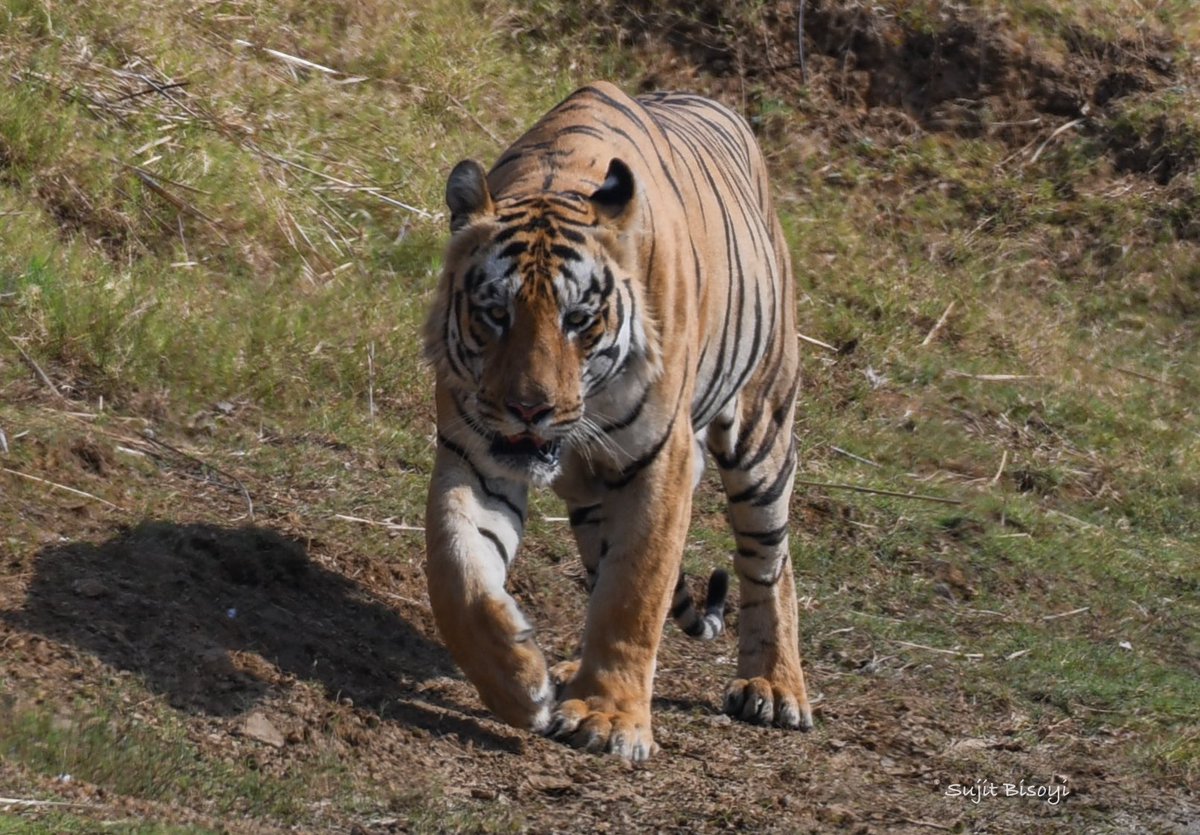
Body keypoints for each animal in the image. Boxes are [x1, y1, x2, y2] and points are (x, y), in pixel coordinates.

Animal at [423, 81, 812, 761]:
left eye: (578, 320)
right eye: (495, 313)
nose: (530, 408)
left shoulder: (661, 463)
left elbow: (636, 590)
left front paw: (608, 719)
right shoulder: (476, 452)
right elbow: (456, 570)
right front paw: (518, 683)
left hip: (762, 431)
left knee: (771, 564)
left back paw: (773, 686)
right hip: (593, 493)